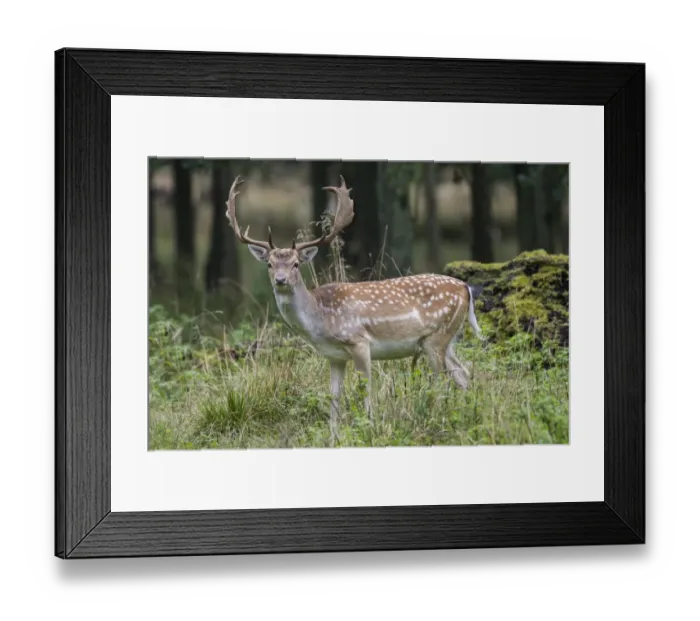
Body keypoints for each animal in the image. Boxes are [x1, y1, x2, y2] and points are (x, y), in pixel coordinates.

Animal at [225, 175, 483, 442]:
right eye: (270, 264)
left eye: (296, 264)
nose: (280, 279)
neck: (320, 320)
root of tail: (465, 288)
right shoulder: (334, 356)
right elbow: (334, 397)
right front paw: (333, 439)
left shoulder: (359, 342)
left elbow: (366, 390)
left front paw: (370, 429)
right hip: (447, 340)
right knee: (464, 375)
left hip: (436, 338)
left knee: (442, 381)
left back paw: (437, 421)